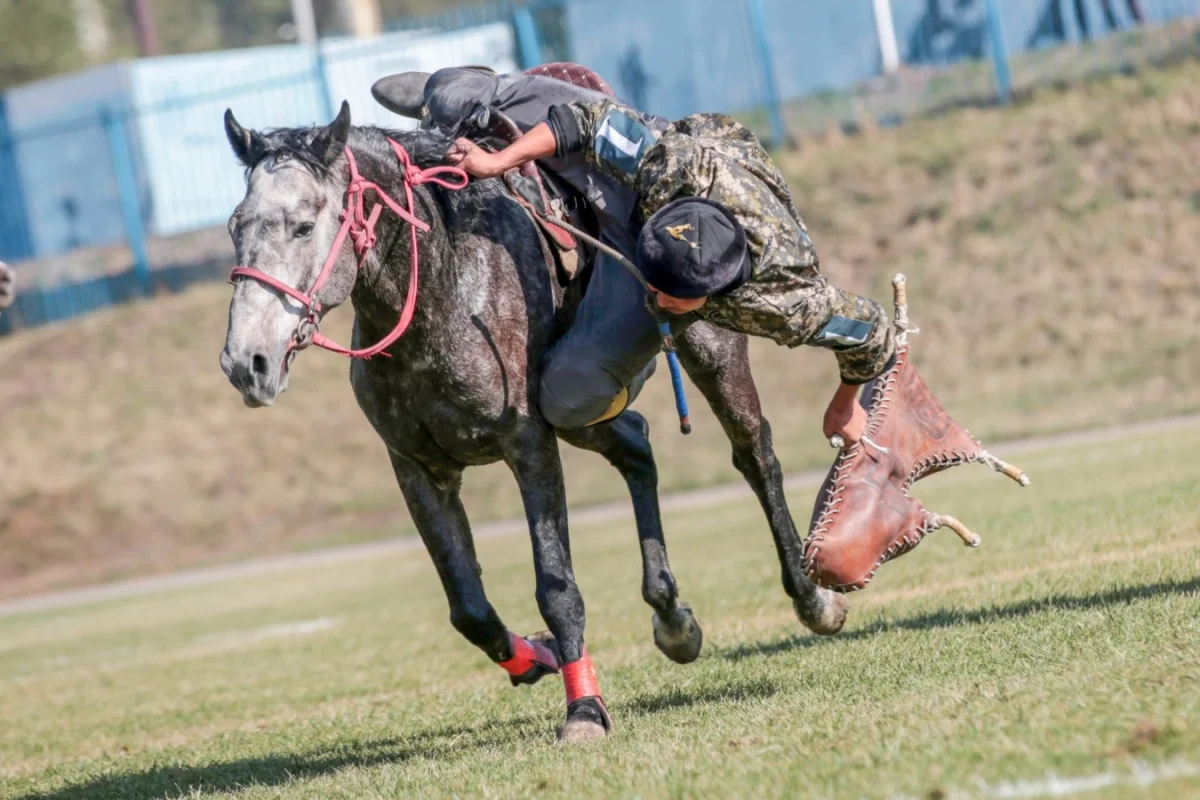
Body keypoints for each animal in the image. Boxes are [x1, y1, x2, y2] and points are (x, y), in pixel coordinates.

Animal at [220, 103, 849, 743]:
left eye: (303, 226)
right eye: (235, 227)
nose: (248, 363)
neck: (446, 284)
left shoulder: (528, 446)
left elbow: (558, 587)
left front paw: (585, 708)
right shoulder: (417, 468)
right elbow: (468, 608)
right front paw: (538, 657)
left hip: (710, 352)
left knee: (754, 453)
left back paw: (811, 598)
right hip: (582, 406)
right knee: (637, 445)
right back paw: (672, 616)